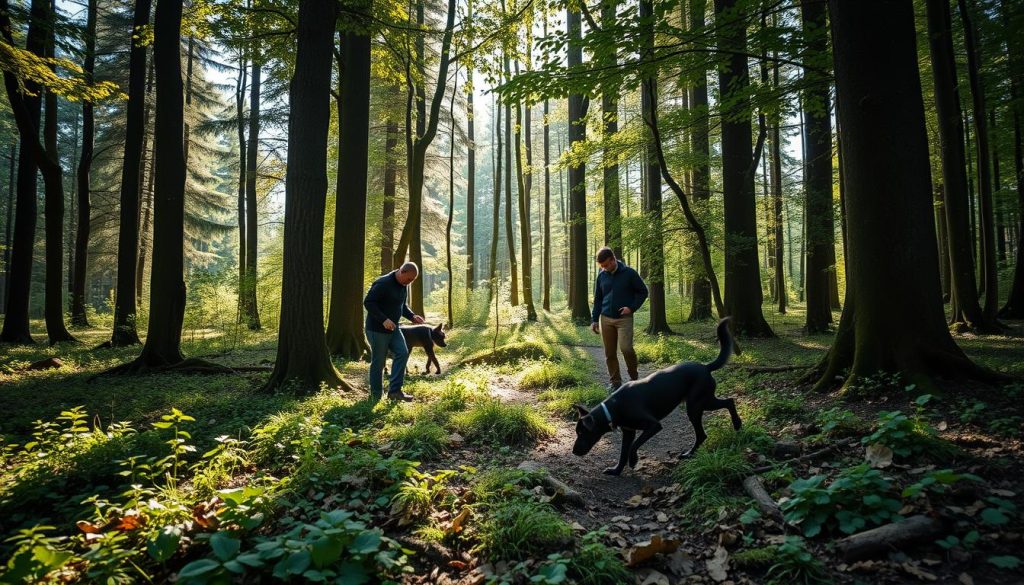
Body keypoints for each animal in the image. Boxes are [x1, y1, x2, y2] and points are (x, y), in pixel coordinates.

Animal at [573, 319, 741, 475]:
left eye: (582, 433)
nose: (573, 451)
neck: (613, 407)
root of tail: (705, 367)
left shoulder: (653, 425)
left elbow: (633, 446)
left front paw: (633, 460)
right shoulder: (628, 432)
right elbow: (622, 453)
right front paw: (616, 470)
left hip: (696, 405)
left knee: (709, 426)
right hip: (702, 402)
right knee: (728, 402)